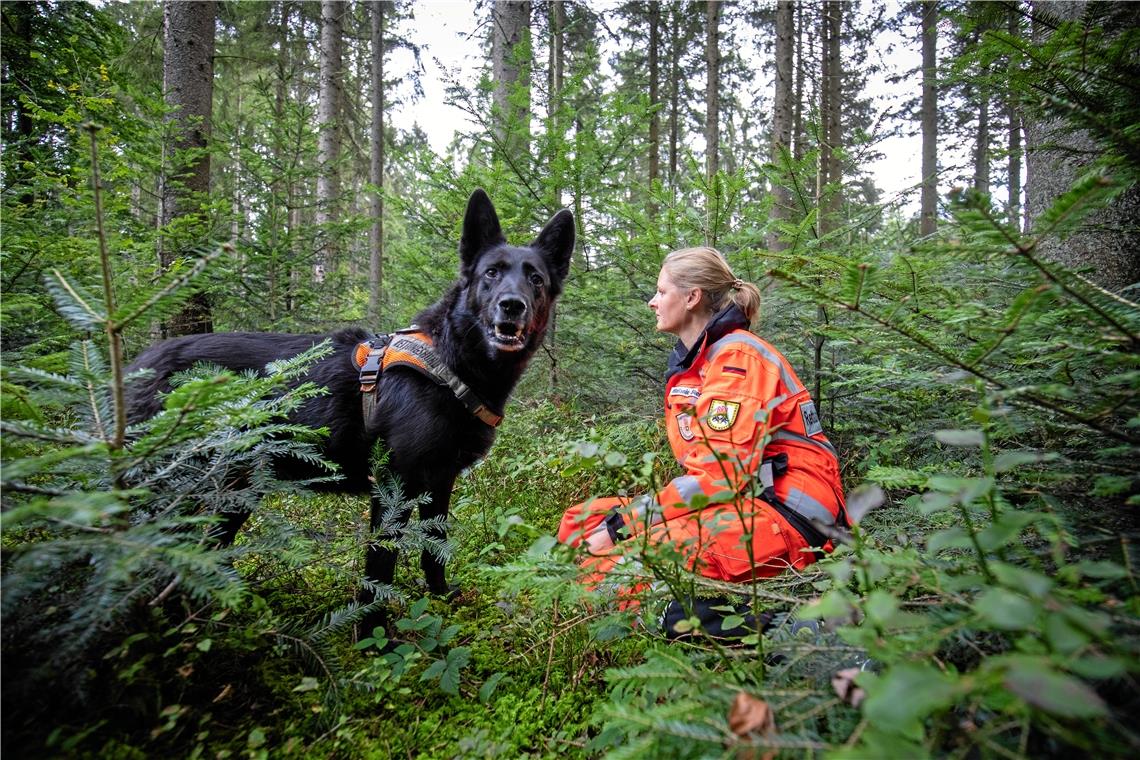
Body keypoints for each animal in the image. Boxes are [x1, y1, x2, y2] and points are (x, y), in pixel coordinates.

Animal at [127, 190, 570, 628]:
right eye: (491, 273)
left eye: (535, 279)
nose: (512, 306)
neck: (453, 360)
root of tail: (137, 364)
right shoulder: (393, 486)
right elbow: (380, 566)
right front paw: (372, 630)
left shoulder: (440, 482)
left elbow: (435, 548)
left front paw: (443, 597)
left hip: (235, 485)